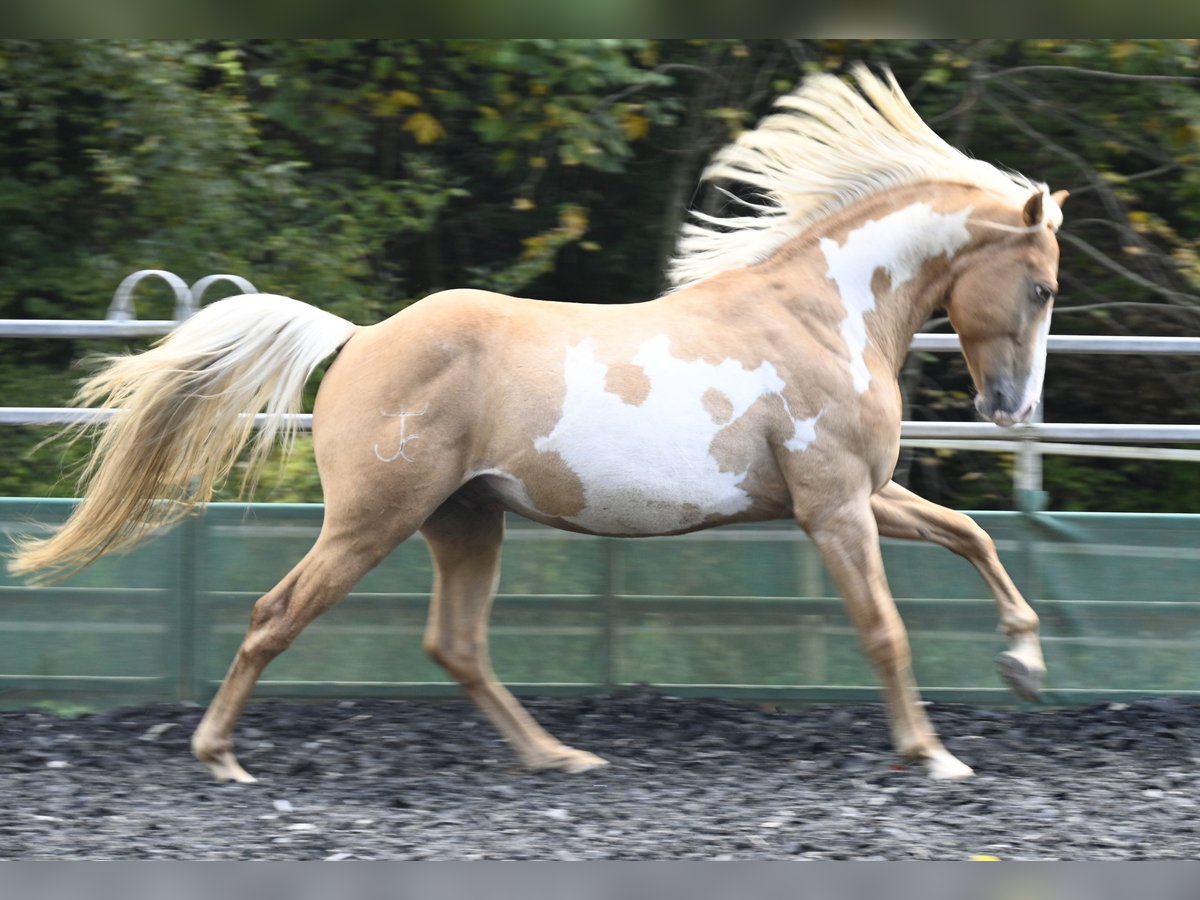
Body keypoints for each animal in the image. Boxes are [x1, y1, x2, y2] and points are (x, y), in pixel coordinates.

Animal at [11, 66, 1070, 782]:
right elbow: (884, 628)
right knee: (280, 614)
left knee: (457, 646)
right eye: (1044, 286)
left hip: (466, 520)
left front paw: (1022, 666)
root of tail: (359, 338)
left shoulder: (860, 493)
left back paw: (558, 757)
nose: (1011, 408)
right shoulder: (834, 505)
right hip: (373, 520)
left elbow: (971, 535)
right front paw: (935, 755)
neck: (825, 311)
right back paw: (220, 755)